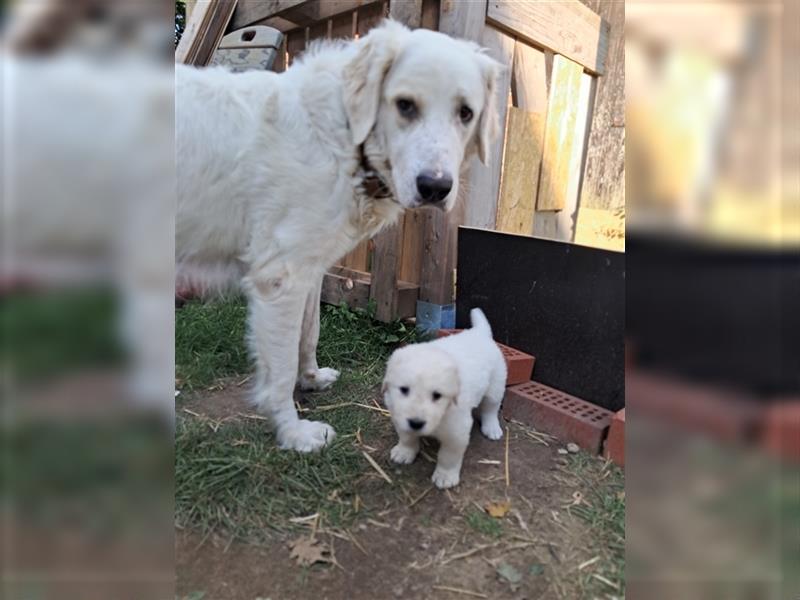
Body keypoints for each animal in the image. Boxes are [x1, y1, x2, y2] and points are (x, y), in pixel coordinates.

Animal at [177, 19, 500, 450]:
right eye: (405, 105)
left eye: (465, 113)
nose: (435, 187)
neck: (346, 137)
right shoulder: (280, 278)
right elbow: (280, 370)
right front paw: (294, 433)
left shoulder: (311, 270)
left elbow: (309, 333)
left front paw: (311, 379)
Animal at [382, 310, 506, 488]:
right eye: (404, 390)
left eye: (437, 395)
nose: (416, 423)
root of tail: (479, 332)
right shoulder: (397, 413)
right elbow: (407, 436)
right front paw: (404, 451)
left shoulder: (457, 431)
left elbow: (448, 456)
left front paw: (445, 476)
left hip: (496, 385)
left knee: (491, 408)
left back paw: (492, 428)